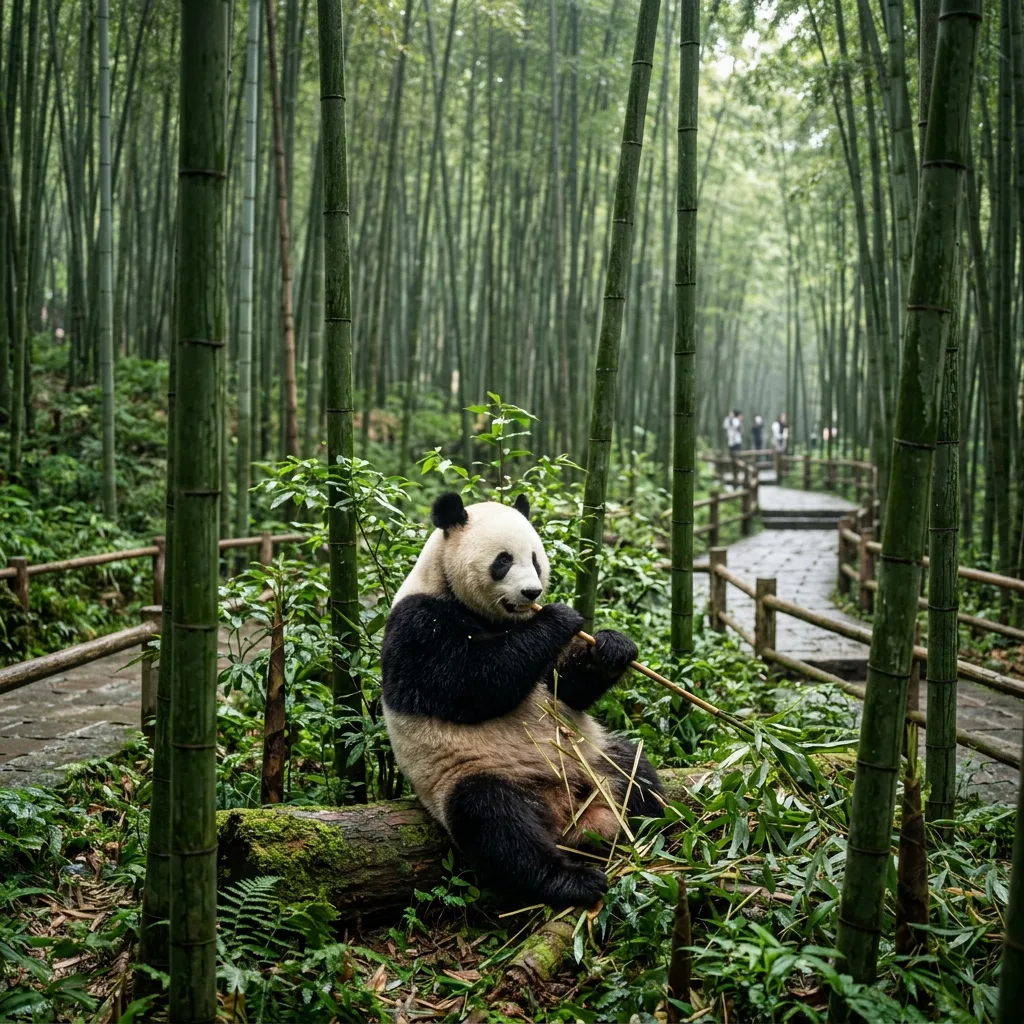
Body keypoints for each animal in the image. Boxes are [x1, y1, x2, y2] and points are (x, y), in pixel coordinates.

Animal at [381, 491, 664, 909]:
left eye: (535, 559)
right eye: (503, 561)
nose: (532, 593)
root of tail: (566, 808)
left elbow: (564, 689)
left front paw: (611, 647)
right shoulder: (418, 624)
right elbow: (472, 681)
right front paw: (560, 617)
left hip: (594, 757)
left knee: (634, 771)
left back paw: (652, 825)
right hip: (472, 774)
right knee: (497, 824)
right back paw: (572, 880)